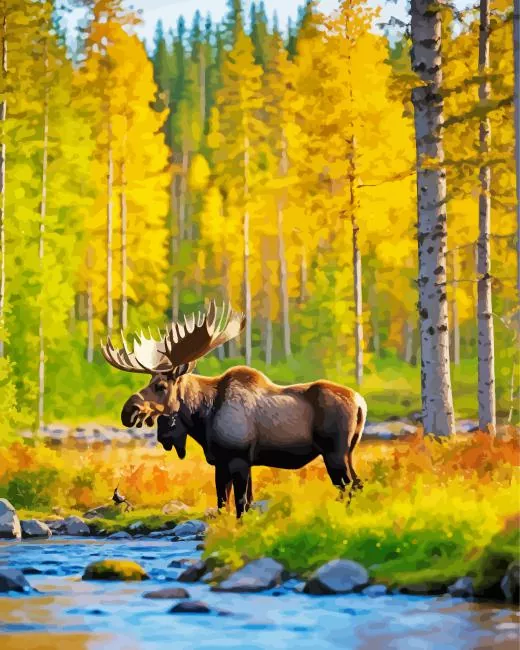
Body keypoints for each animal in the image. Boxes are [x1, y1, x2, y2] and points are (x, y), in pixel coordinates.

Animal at [101, 301, 367, 518]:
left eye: (160, 385)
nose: (128, 410)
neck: (203, 417)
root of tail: (361, 403)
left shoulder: (237, 458)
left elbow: (240, 505)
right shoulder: (224, 462)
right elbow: (226, 504)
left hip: (334, 452)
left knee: (347, 487)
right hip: (348, 451)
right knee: (357, 484)